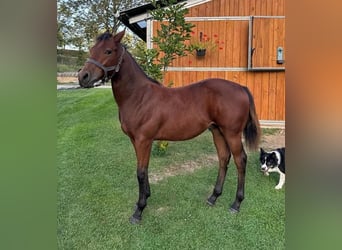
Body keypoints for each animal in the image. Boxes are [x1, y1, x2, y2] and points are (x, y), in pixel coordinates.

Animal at [77, 30, 260, 224]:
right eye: (92, 49)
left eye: (108, 51)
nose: (83, 77)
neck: (139, 96)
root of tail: (241, 88)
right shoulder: (136, 140)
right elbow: (144, 169)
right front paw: (145, 197)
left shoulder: (143, 140)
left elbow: (140, 172)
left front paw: (139, 210)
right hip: (217, 131)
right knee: (224, 158)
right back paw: (213, 197)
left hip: (232, 133)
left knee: (240, 160)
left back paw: (236, 203)